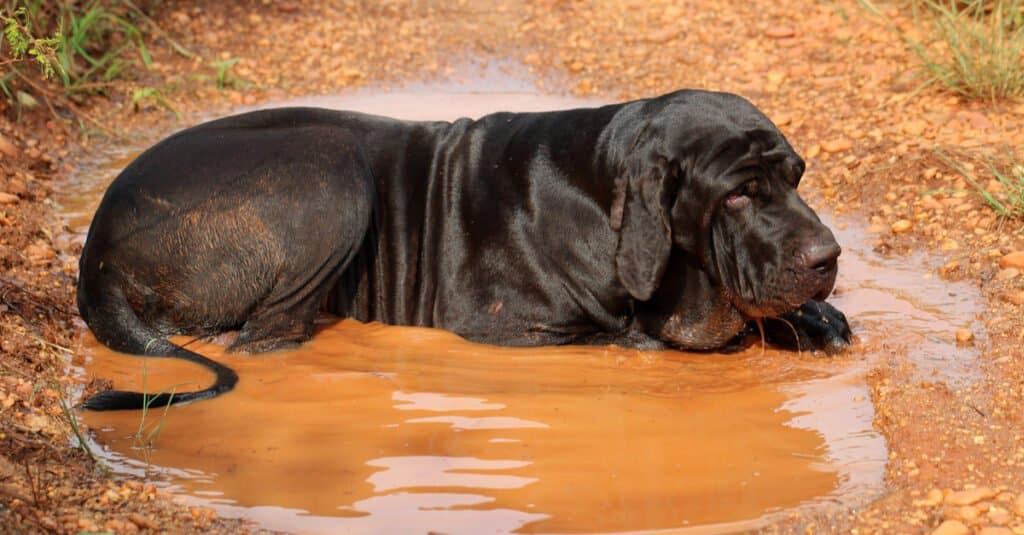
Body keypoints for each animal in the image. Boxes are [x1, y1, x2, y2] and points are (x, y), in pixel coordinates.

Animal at [77, 89, 847, 409]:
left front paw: (815, 319)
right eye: (738, 195)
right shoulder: (513, 328)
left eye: (797, 176)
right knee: (268, 333)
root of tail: (97, 249)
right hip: (329, 166)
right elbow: (637, 336)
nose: (827, 256)